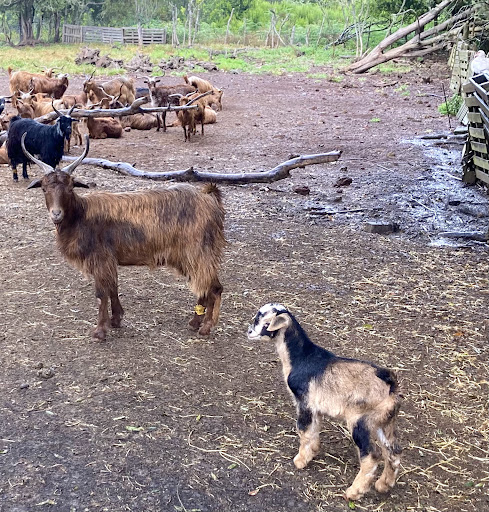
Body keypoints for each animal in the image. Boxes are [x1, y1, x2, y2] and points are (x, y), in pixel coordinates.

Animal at [23, 136, 226, 342]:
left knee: (215, 287)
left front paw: (100, 331)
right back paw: (195, 322)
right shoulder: (108, 261)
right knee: (204, 286)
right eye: (44, 188)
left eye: (71, 187)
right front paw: (116, 320)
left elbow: (101, 293)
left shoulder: (100, 258)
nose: (56, 214)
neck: (81, 214)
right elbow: (113, 287)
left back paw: (206, 326)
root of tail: (209, 199)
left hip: (198, 252)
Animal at [246, 304, 402, 500]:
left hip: (361, 421)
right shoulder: (315, 408)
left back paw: (354, 492)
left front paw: (300, 461)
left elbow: (303, 430)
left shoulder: (304, 402)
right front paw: (313, 451)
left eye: (264, 321)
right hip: (384, 422)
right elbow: (314, 430)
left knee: (372, 455)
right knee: (393, 452)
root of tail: (390, 385)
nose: (249, 331)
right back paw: (383, 485)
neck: (301, 358)